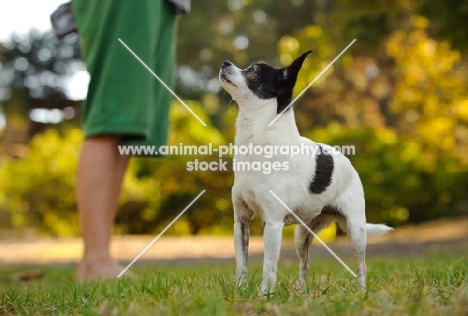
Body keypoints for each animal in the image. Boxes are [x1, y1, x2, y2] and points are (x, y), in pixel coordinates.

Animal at [220, 50, 394, 294]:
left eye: (252, 70)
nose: (225, 62)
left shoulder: (272, 224)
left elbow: (269, 266)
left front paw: (265, 294)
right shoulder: (241, 221)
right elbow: (241, 264)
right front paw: (240, 291)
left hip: (357, 231)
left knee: (361, 264)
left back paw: (361, 291)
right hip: (301, 235)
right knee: (305, 262)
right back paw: (301, 290)